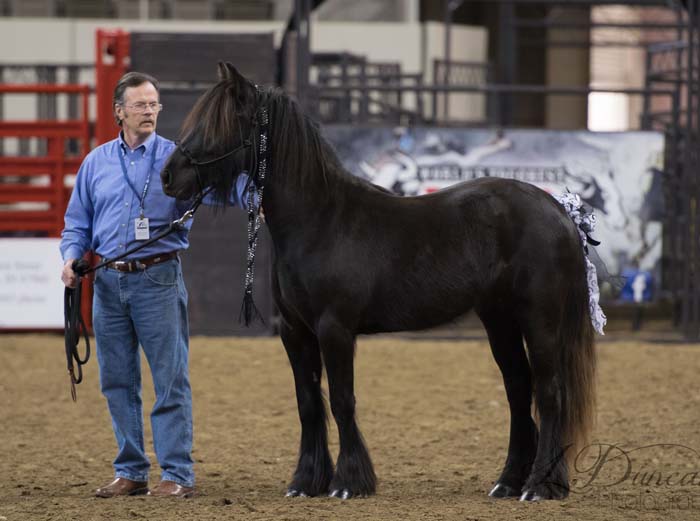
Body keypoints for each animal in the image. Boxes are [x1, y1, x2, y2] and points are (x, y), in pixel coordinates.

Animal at [163, 63, 596, 502]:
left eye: (221, 123)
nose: (168, 176)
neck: (320, 220)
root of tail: (559, 210)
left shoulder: (334, 329)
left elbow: (341, 400)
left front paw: (348, 483)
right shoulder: (294, 331)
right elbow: (308, 403)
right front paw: (306, 482)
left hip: (540, 321)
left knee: (549, 393)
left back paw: (541, 487)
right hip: (499, 322)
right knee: (518, 391)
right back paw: (508, 482)